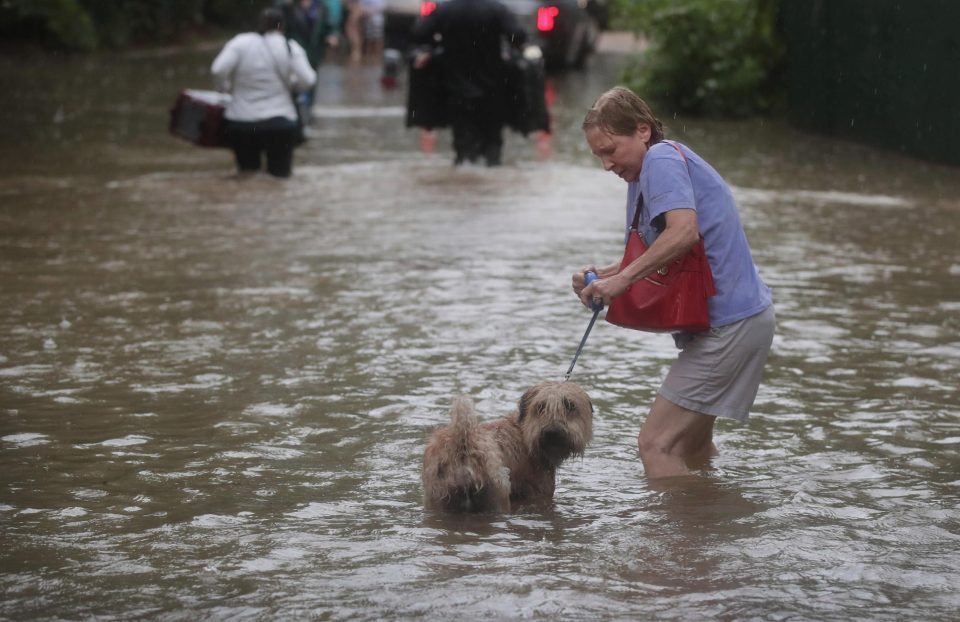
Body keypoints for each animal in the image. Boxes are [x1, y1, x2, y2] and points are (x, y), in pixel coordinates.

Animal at [422, 382, 592, 516]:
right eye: (540, 407)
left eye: (570, 405)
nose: (552, 432)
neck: (524, 433)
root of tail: (462, 445)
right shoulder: (541, 491)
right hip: (498, 495)